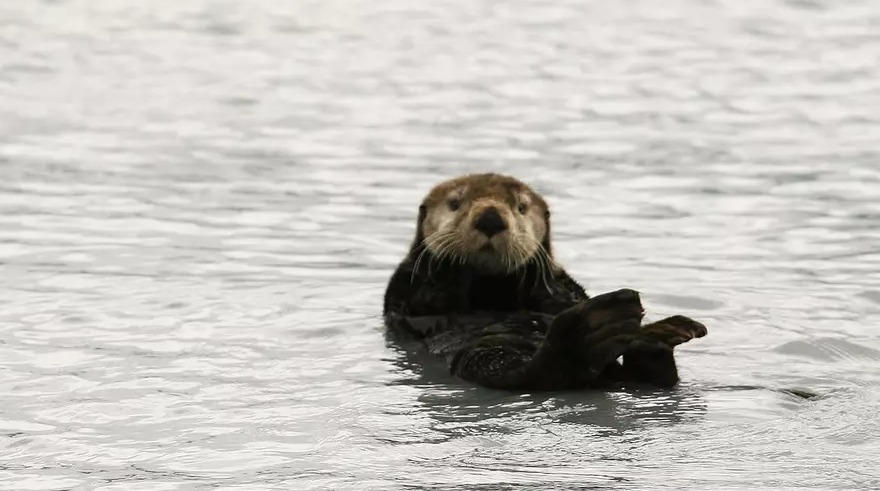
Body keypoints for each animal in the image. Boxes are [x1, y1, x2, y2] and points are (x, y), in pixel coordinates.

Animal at [383, 173, 707, 391]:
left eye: (521, 207)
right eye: (454, 203)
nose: (490, 218)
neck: (489, 289)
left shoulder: (558, 285)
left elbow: (563, 295)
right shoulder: (407, 291)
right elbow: (427, 298)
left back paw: (659, 334)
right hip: (484, 355)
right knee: (535, 372)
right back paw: (596, 331)